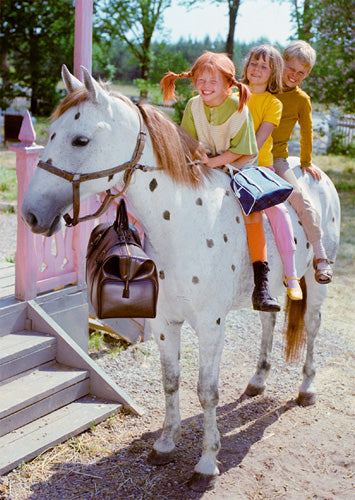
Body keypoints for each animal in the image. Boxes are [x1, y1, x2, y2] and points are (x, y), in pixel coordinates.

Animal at [20, 64, 340, 490]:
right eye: (51, 132)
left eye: (80, 139)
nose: (31, 215)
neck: (184, 220)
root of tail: (316, 175)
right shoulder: (164, 321)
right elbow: (170, 380)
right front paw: (165, 445)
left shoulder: (210, 325)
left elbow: (207, 391)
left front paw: (206, 464)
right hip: (269, 289)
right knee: (268, 320)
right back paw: (258, 381)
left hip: (316, 284)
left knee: (314, 327)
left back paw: (306, 388)